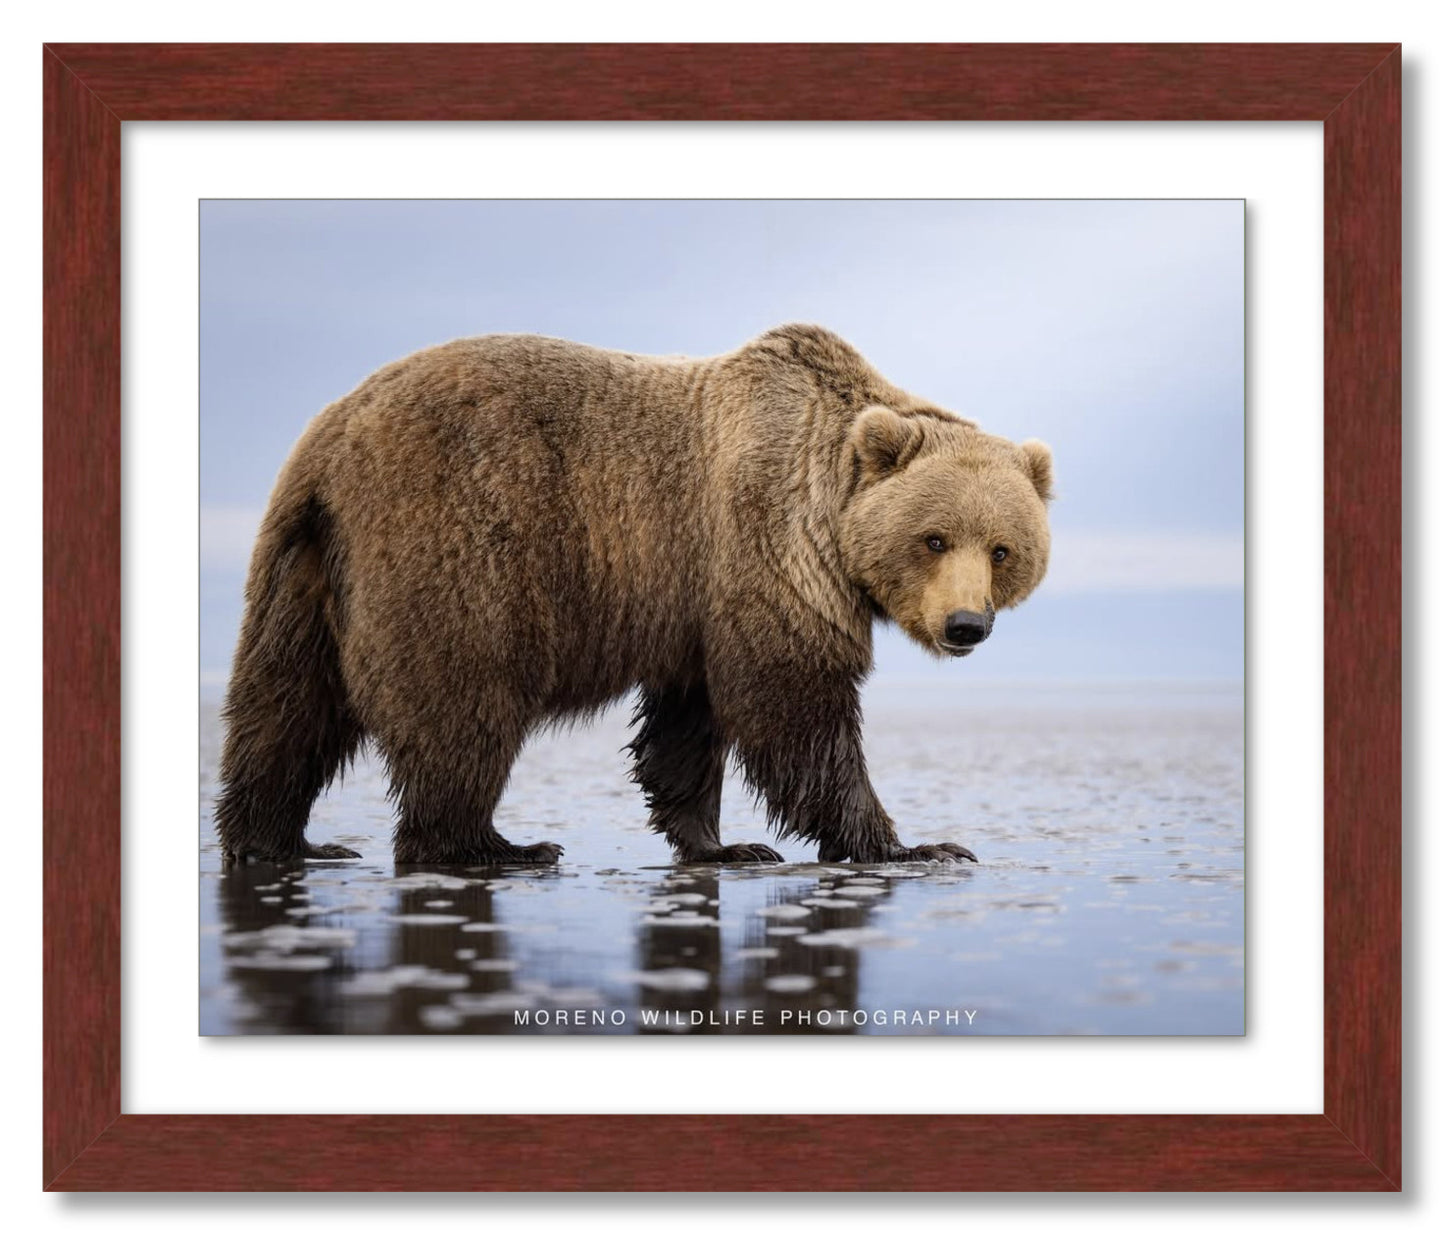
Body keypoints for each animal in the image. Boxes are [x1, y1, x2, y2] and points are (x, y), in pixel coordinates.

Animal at [215, 324, 1053, 867]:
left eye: (1002, 549)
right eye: (933, 539)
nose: (965, 625)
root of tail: (330, 441)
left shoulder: (693, 598)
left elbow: (689, 721)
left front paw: (722, 844)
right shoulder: (766, 546)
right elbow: (793, 704)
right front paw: (915, 845)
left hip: (303, 570)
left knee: (286, 707)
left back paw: (281, 840)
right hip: (454, 541)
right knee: (462, 701)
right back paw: (492, 845)